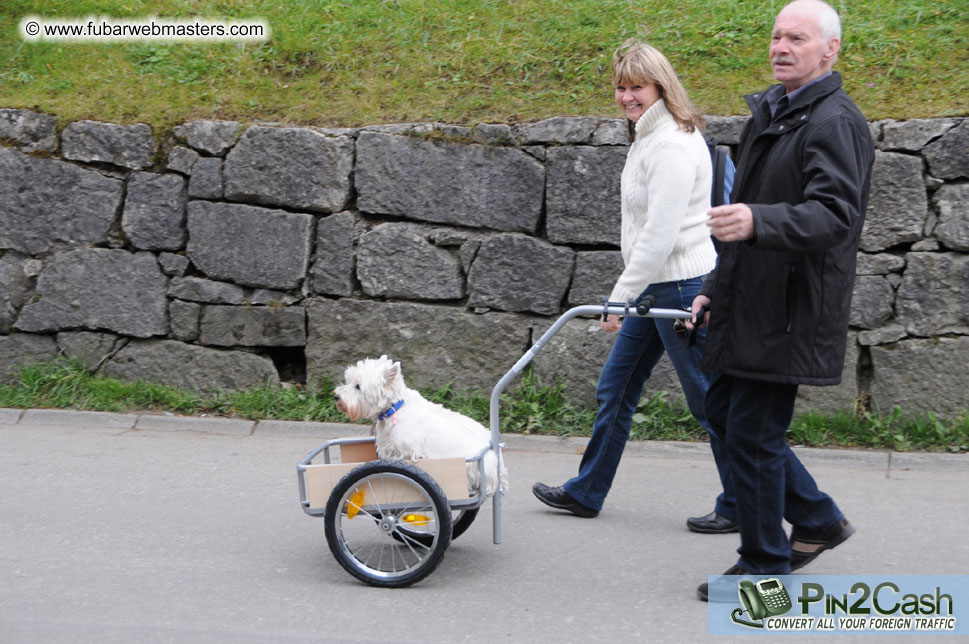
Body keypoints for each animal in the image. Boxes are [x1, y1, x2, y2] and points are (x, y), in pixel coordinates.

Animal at [334, 354, 506, 496]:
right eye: (349, 381)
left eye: (358, 386)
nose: (336, 396)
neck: (395, 408)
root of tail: (491, 451)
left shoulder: (408, 453)